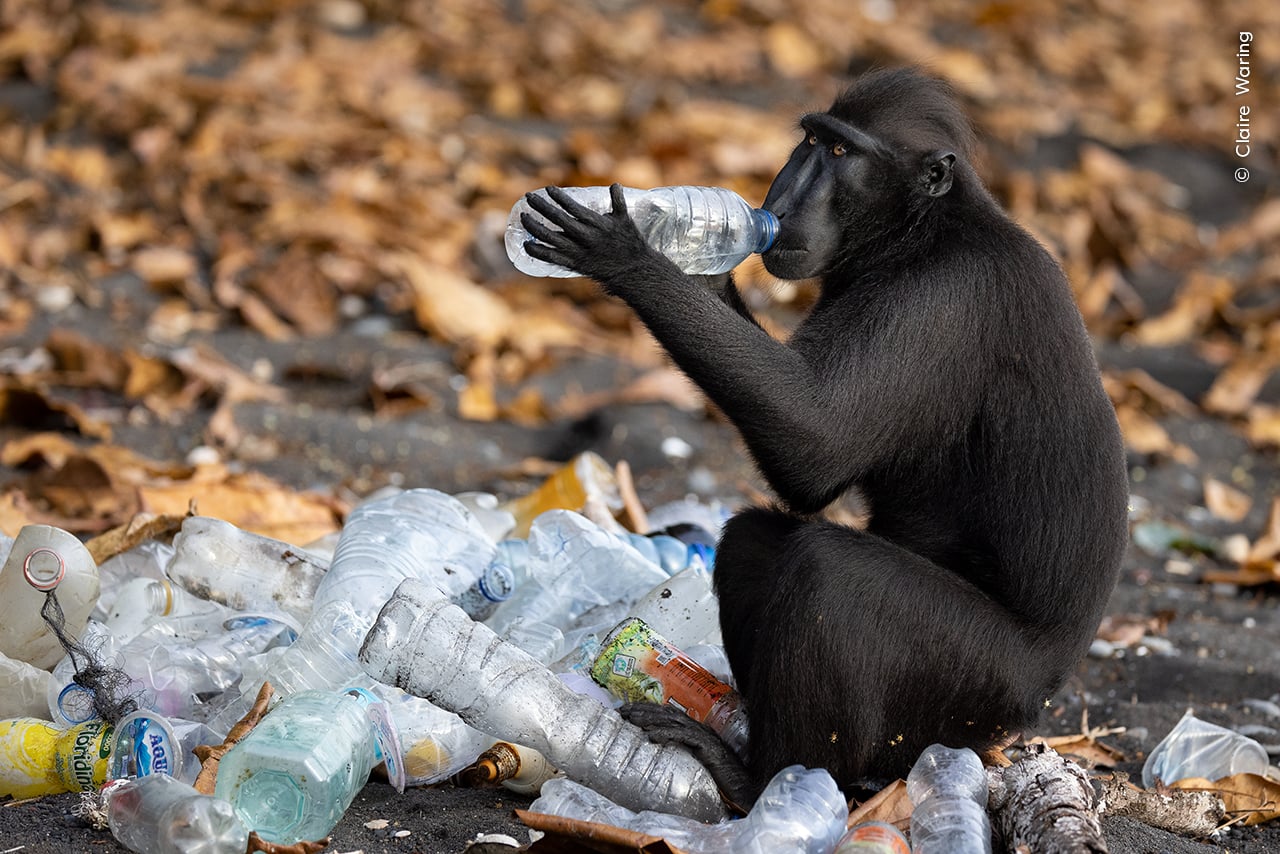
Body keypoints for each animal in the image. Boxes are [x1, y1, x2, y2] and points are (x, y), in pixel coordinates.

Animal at [519, 67, 1128, 809]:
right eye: (809, 141)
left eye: (840, 154)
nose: (781, 196)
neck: (919, 232)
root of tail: (1041, 696)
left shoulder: (944, 298)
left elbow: (817, 447)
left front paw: (633, 254)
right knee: (755, 539)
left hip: (981, 685)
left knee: (829, 573)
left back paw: (765, 780)